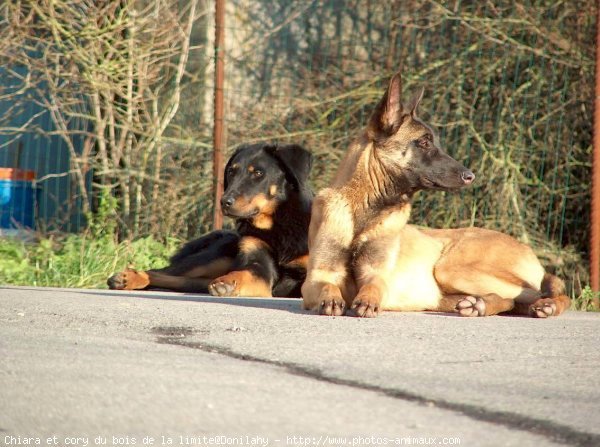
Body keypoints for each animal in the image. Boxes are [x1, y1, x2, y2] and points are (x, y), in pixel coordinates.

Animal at [302, 72, 568, 318]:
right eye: (424, 142)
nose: (470, 176)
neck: (366, 213)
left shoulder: (376, 274)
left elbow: (373, 287)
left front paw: (367, 300)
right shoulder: (316, 276)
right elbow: (326, 285)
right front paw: (331, 298)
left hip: (452, 270)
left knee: (547, 292)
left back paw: (546, 306)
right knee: (513, 301)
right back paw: (480, 305)